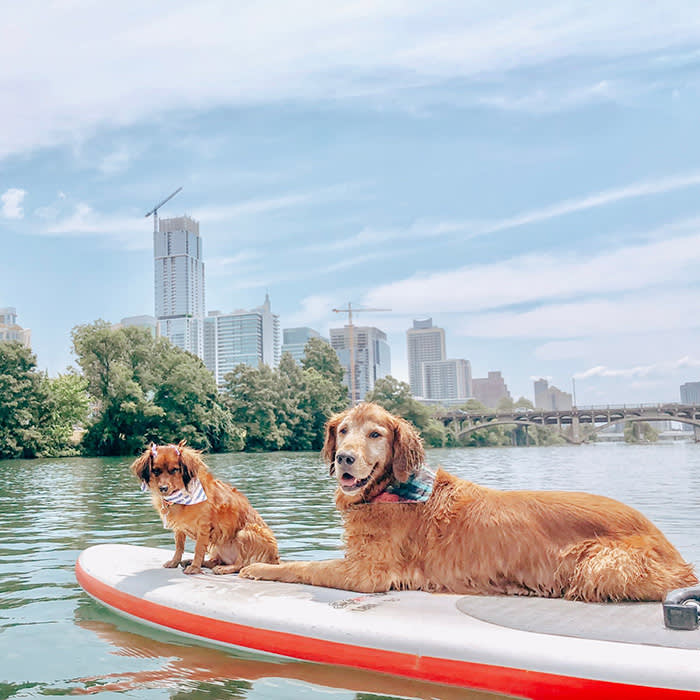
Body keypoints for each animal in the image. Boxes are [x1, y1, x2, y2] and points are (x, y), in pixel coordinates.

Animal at [131, 442, 278, 576]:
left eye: (174, 470)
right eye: (156, 471)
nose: (163, 488)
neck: (180, 496)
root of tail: (275, 560)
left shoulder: (204, 528)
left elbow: (198, 549)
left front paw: (195, 568)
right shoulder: (179, 528)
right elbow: (179, 546)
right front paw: (175, 562)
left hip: (245, 533)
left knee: (240, 564)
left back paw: (223, 568)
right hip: (218, 546)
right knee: (215, 561)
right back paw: (192, 562)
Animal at [239, 404, 696, 600]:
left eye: (375, 434)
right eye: (343, 430)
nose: (344, 459)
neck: (393, 488)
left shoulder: (366, 573)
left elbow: (304, 567)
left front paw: (259, 568)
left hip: (599, 566)